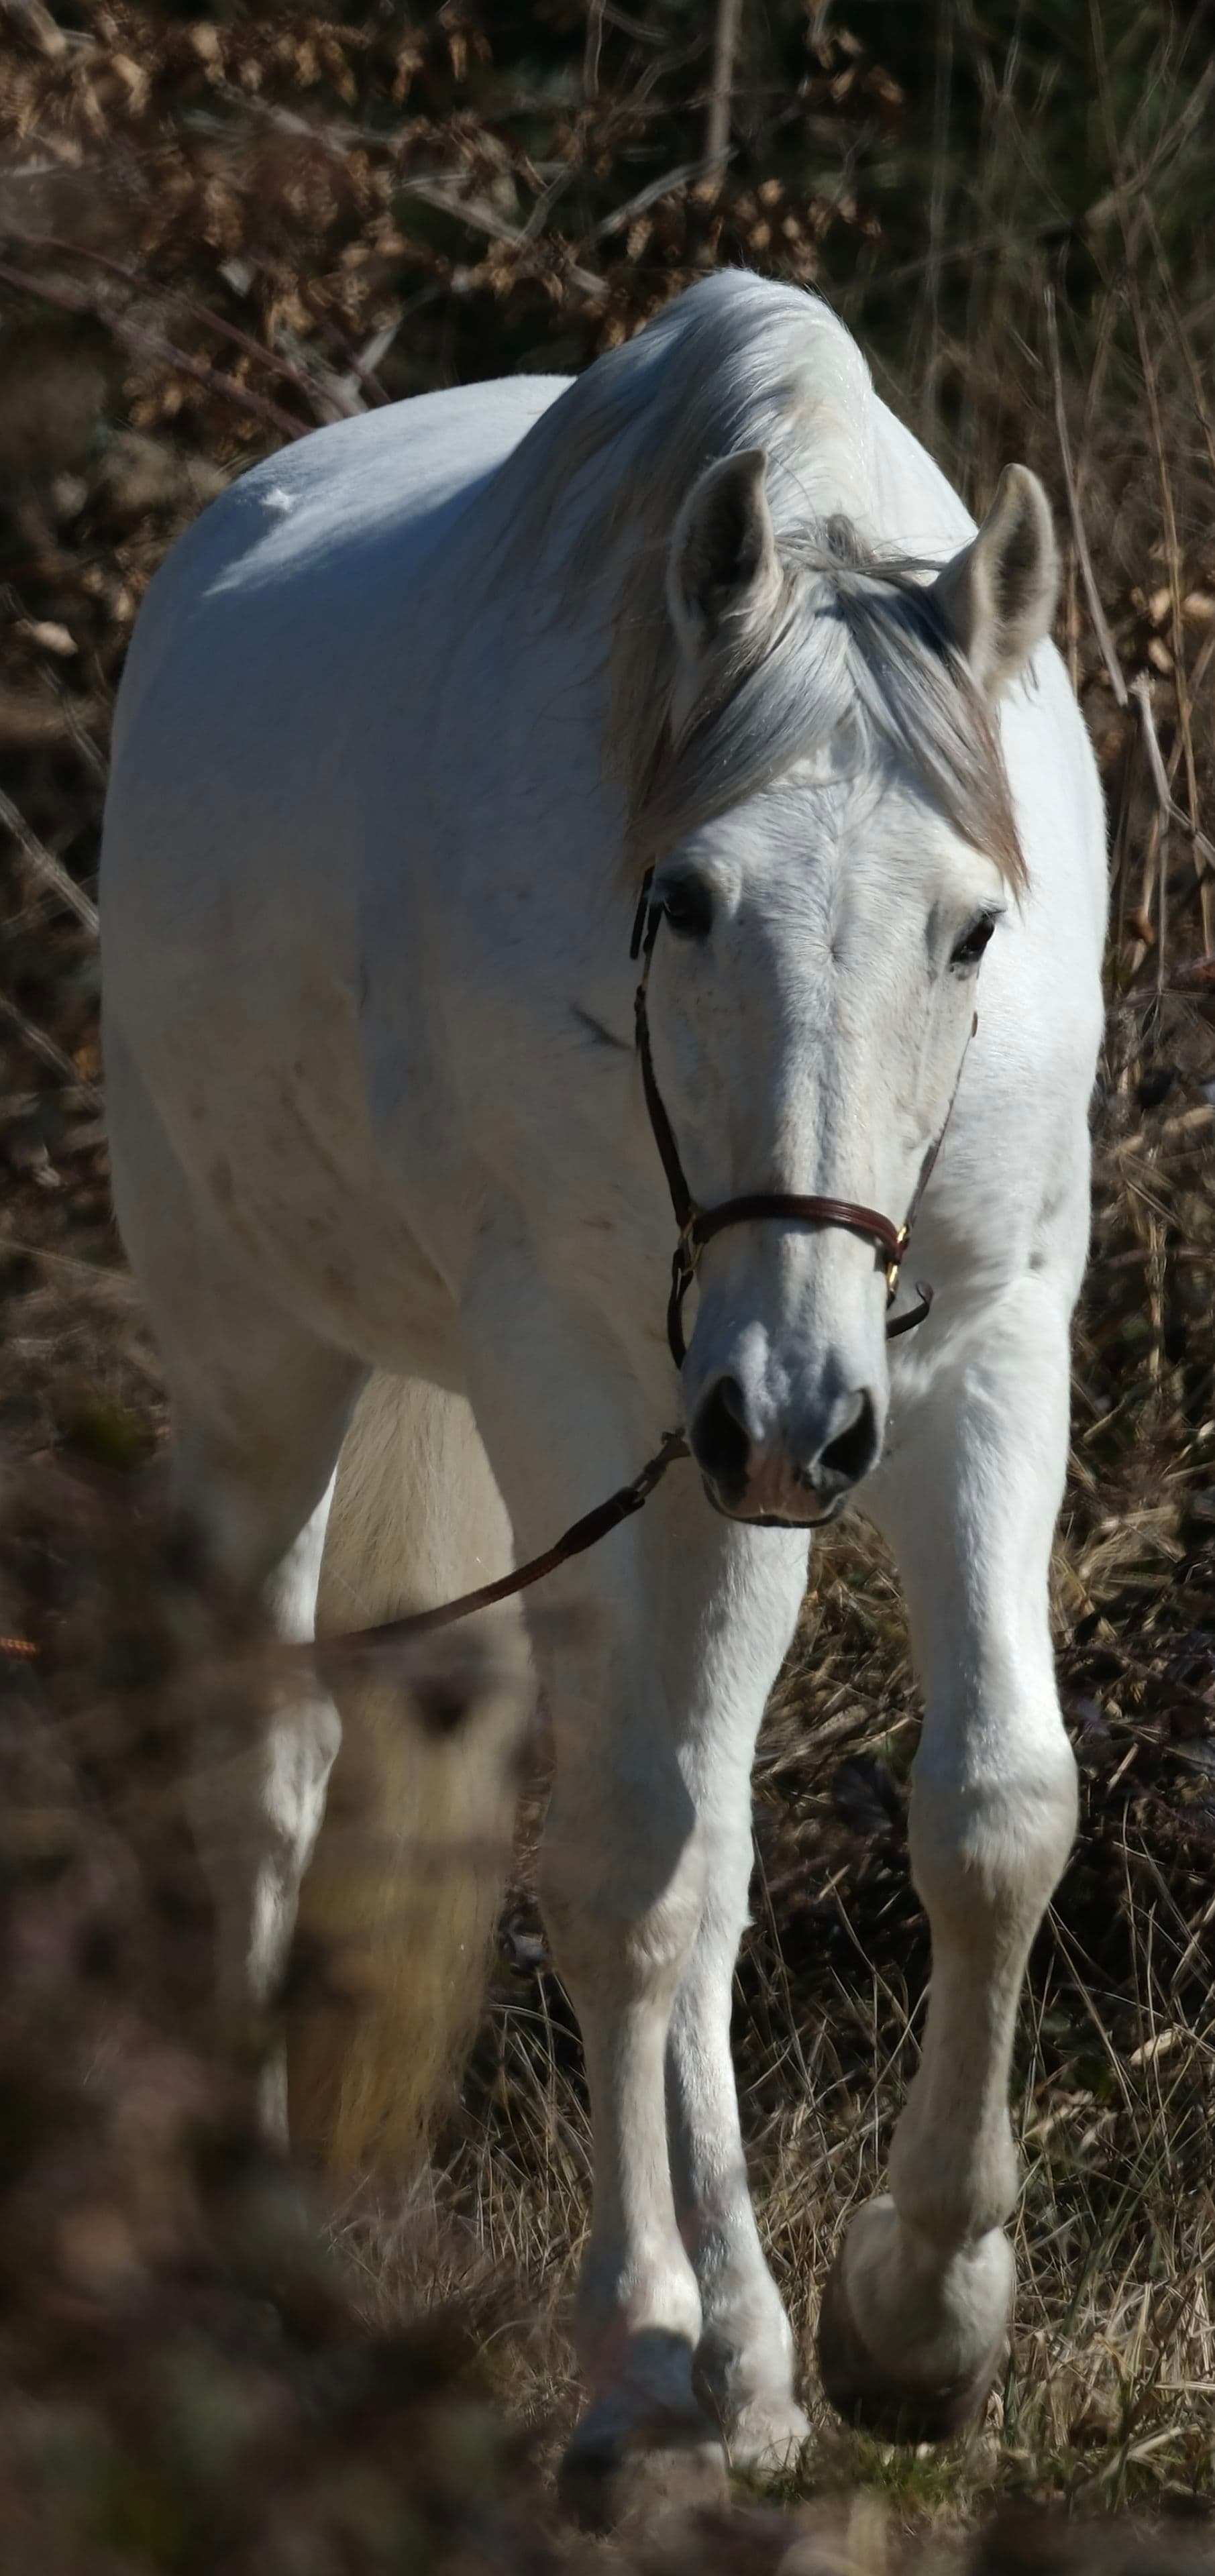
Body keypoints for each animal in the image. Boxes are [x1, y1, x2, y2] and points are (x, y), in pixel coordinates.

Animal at [100, 269, 1107, 2517]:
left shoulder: (984, 1340)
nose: (799, 1415)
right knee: (285, 1764)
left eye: (970, 928)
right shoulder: (568, 1363)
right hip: (275, 1354)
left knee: (711, 1841)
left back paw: (761, 2357)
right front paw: (651, 2358)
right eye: (687, 899)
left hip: (724, 1459)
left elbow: (994, 1810)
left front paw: (918, 2323)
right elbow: (623, 1860)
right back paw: (287, 2267)